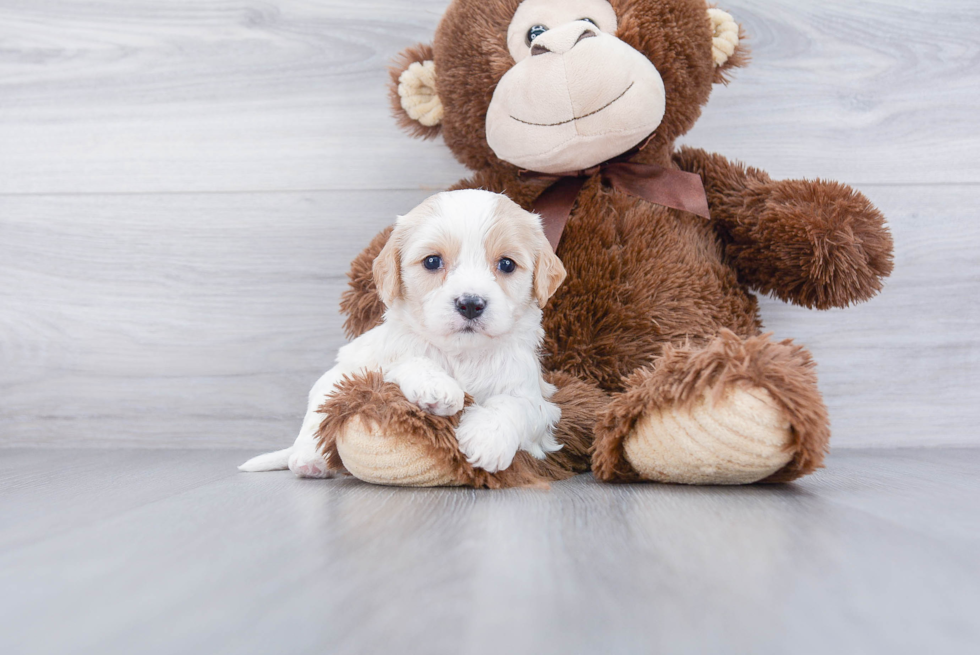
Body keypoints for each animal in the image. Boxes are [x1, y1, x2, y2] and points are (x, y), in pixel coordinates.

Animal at [238, 188, 572, 476]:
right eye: (433, 261)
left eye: (506, 264)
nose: (470, 304)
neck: (462, 354)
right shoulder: (377, 366)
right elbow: (408, 361)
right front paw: (436, 386)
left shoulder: (539, 402)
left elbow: (516, 406)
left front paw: (487, 438)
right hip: (334, 379)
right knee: (316, 417)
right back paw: (309, 459)